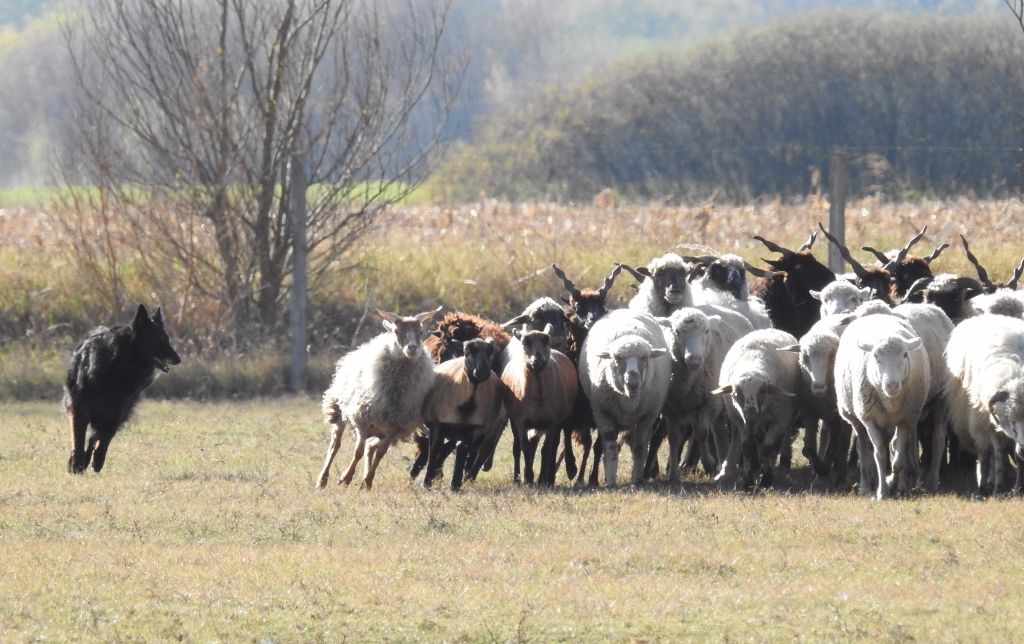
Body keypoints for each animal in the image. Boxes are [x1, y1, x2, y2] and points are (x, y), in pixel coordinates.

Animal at [62, 301, 181, 473]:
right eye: (157, 338)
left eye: (167, 339)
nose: (178, 359)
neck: (118, 366)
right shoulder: (79, 409)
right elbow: (78, 439)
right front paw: (76, 464)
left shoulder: (117, 412)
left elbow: (104, 437)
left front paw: (97, 460)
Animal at [313, 307, 438, 487]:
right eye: (396, 331)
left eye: (421, 332)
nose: (412, 348)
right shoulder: (361, 419)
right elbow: (357, 451)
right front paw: (346, 477)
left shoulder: (395, 427)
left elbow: (380, 453)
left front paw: (367, 481)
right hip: (339, 410)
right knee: (335, 446)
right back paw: (322, 480)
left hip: (380, 430)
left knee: (370, 448)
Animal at [712, 331, 798, 487]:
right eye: (735, 394)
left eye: (763, 392)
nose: (750, 418)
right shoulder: (741, 422)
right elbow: (747, 448)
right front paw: (749, 480)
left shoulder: (781, 420)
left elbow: (767, 447)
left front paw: (766, 479)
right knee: (742, 441)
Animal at [835, 311, 933, 497]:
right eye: (875, 356)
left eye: (905, 355)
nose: (892, 385)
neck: (891, 401)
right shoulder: (870, 419)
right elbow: (879, 453)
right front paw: (882, 492)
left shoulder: (907, 419)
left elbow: (898, 458)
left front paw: (891, 482)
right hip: (856, 417)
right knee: (863, 447)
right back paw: (866, 486)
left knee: (894, 446)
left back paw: (898, 483)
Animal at [946, 313, 1024, 495]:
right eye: (1012, 421)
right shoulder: (991, 424)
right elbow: (998, 453)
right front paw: (998, 488)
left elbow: (1017, 457)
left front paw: (1018, 488)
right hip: (977, 421)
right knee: (985, 453)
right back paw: (984, 485)